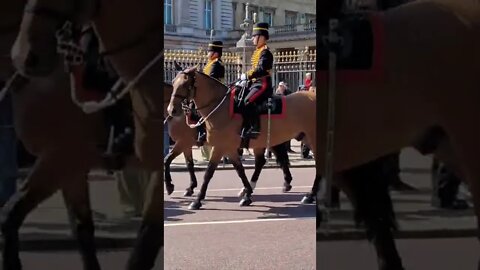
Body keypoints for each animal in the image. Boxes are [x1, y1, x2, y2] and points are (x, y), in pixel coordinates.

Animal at [163, 81, 294, 197]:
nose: (172, 110)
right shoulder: (186, 144)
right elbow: (189, 164)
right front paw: (190, 187)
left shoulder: (183, 142)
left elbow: (167, 160)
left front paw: (170, 186)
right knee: (268, 159)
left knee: (276, 158)